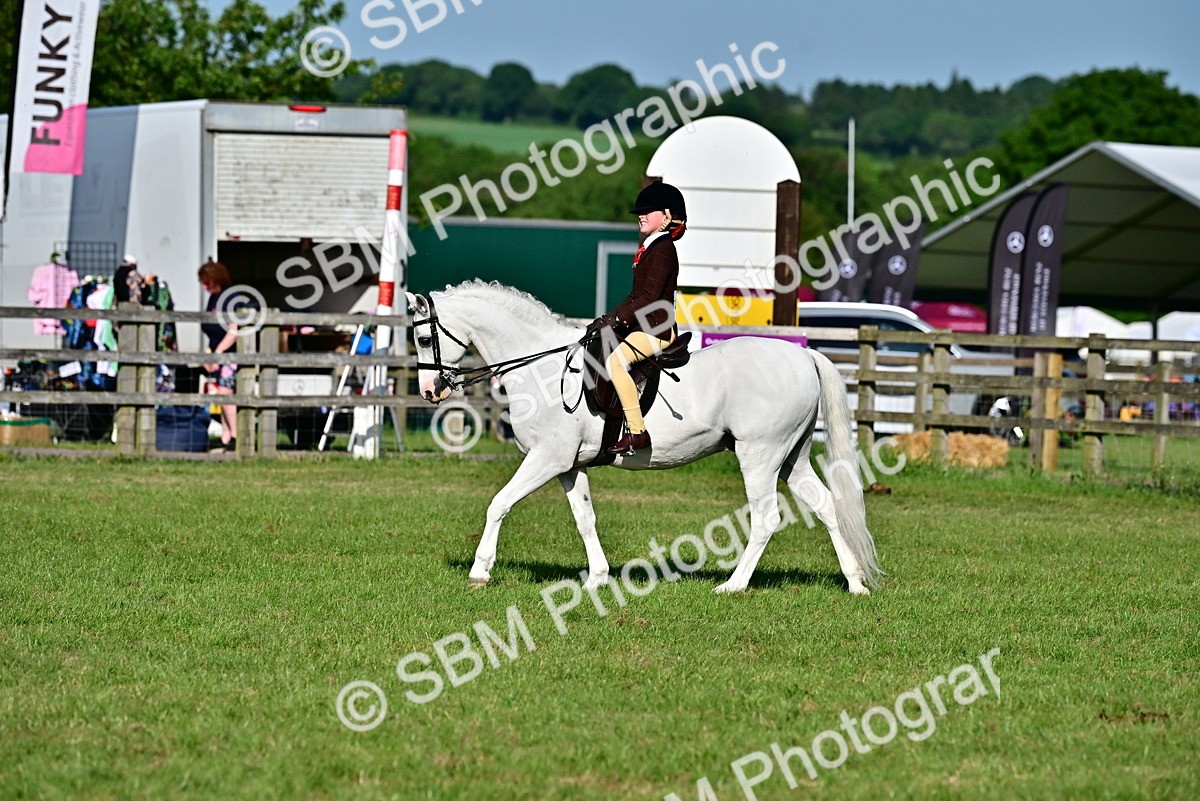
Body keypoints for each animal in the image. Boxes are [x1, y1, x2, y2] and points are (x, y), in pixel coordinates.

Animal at [407, 280, 881, 595]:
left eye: (423, 336)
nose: (430, 391)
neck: (540, 365)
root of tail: (803, 355)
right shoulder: (569, 466)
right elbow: (585, 518)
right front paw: (597, 578)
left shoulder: (546, 458)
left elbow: (498, 503)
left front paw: (480, 570)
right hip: (791, 457)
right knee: (826, 506)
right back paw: (854, 583)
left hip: (759, 457)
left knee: (766, 519)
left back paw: (733, 585)